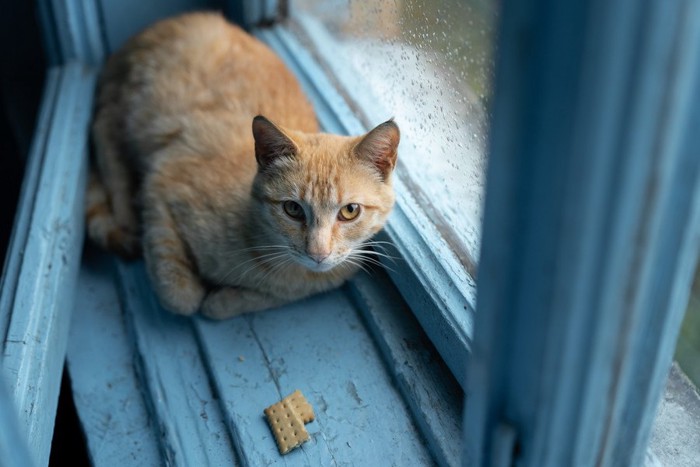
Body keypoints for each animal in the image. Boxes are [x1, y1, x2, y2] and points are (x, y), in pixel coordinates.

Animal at [86, 11, 400, 320]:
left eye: (350, 211)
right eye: (292, 209)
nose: (318, 253)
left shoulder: (329, 275)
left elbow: (244, 302)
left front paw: (224, 300)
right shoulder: (162, 185)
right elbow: (180, 296)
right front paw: (198, 294)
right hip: (125, 113)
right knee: (106, 144)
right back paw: (126, 216)